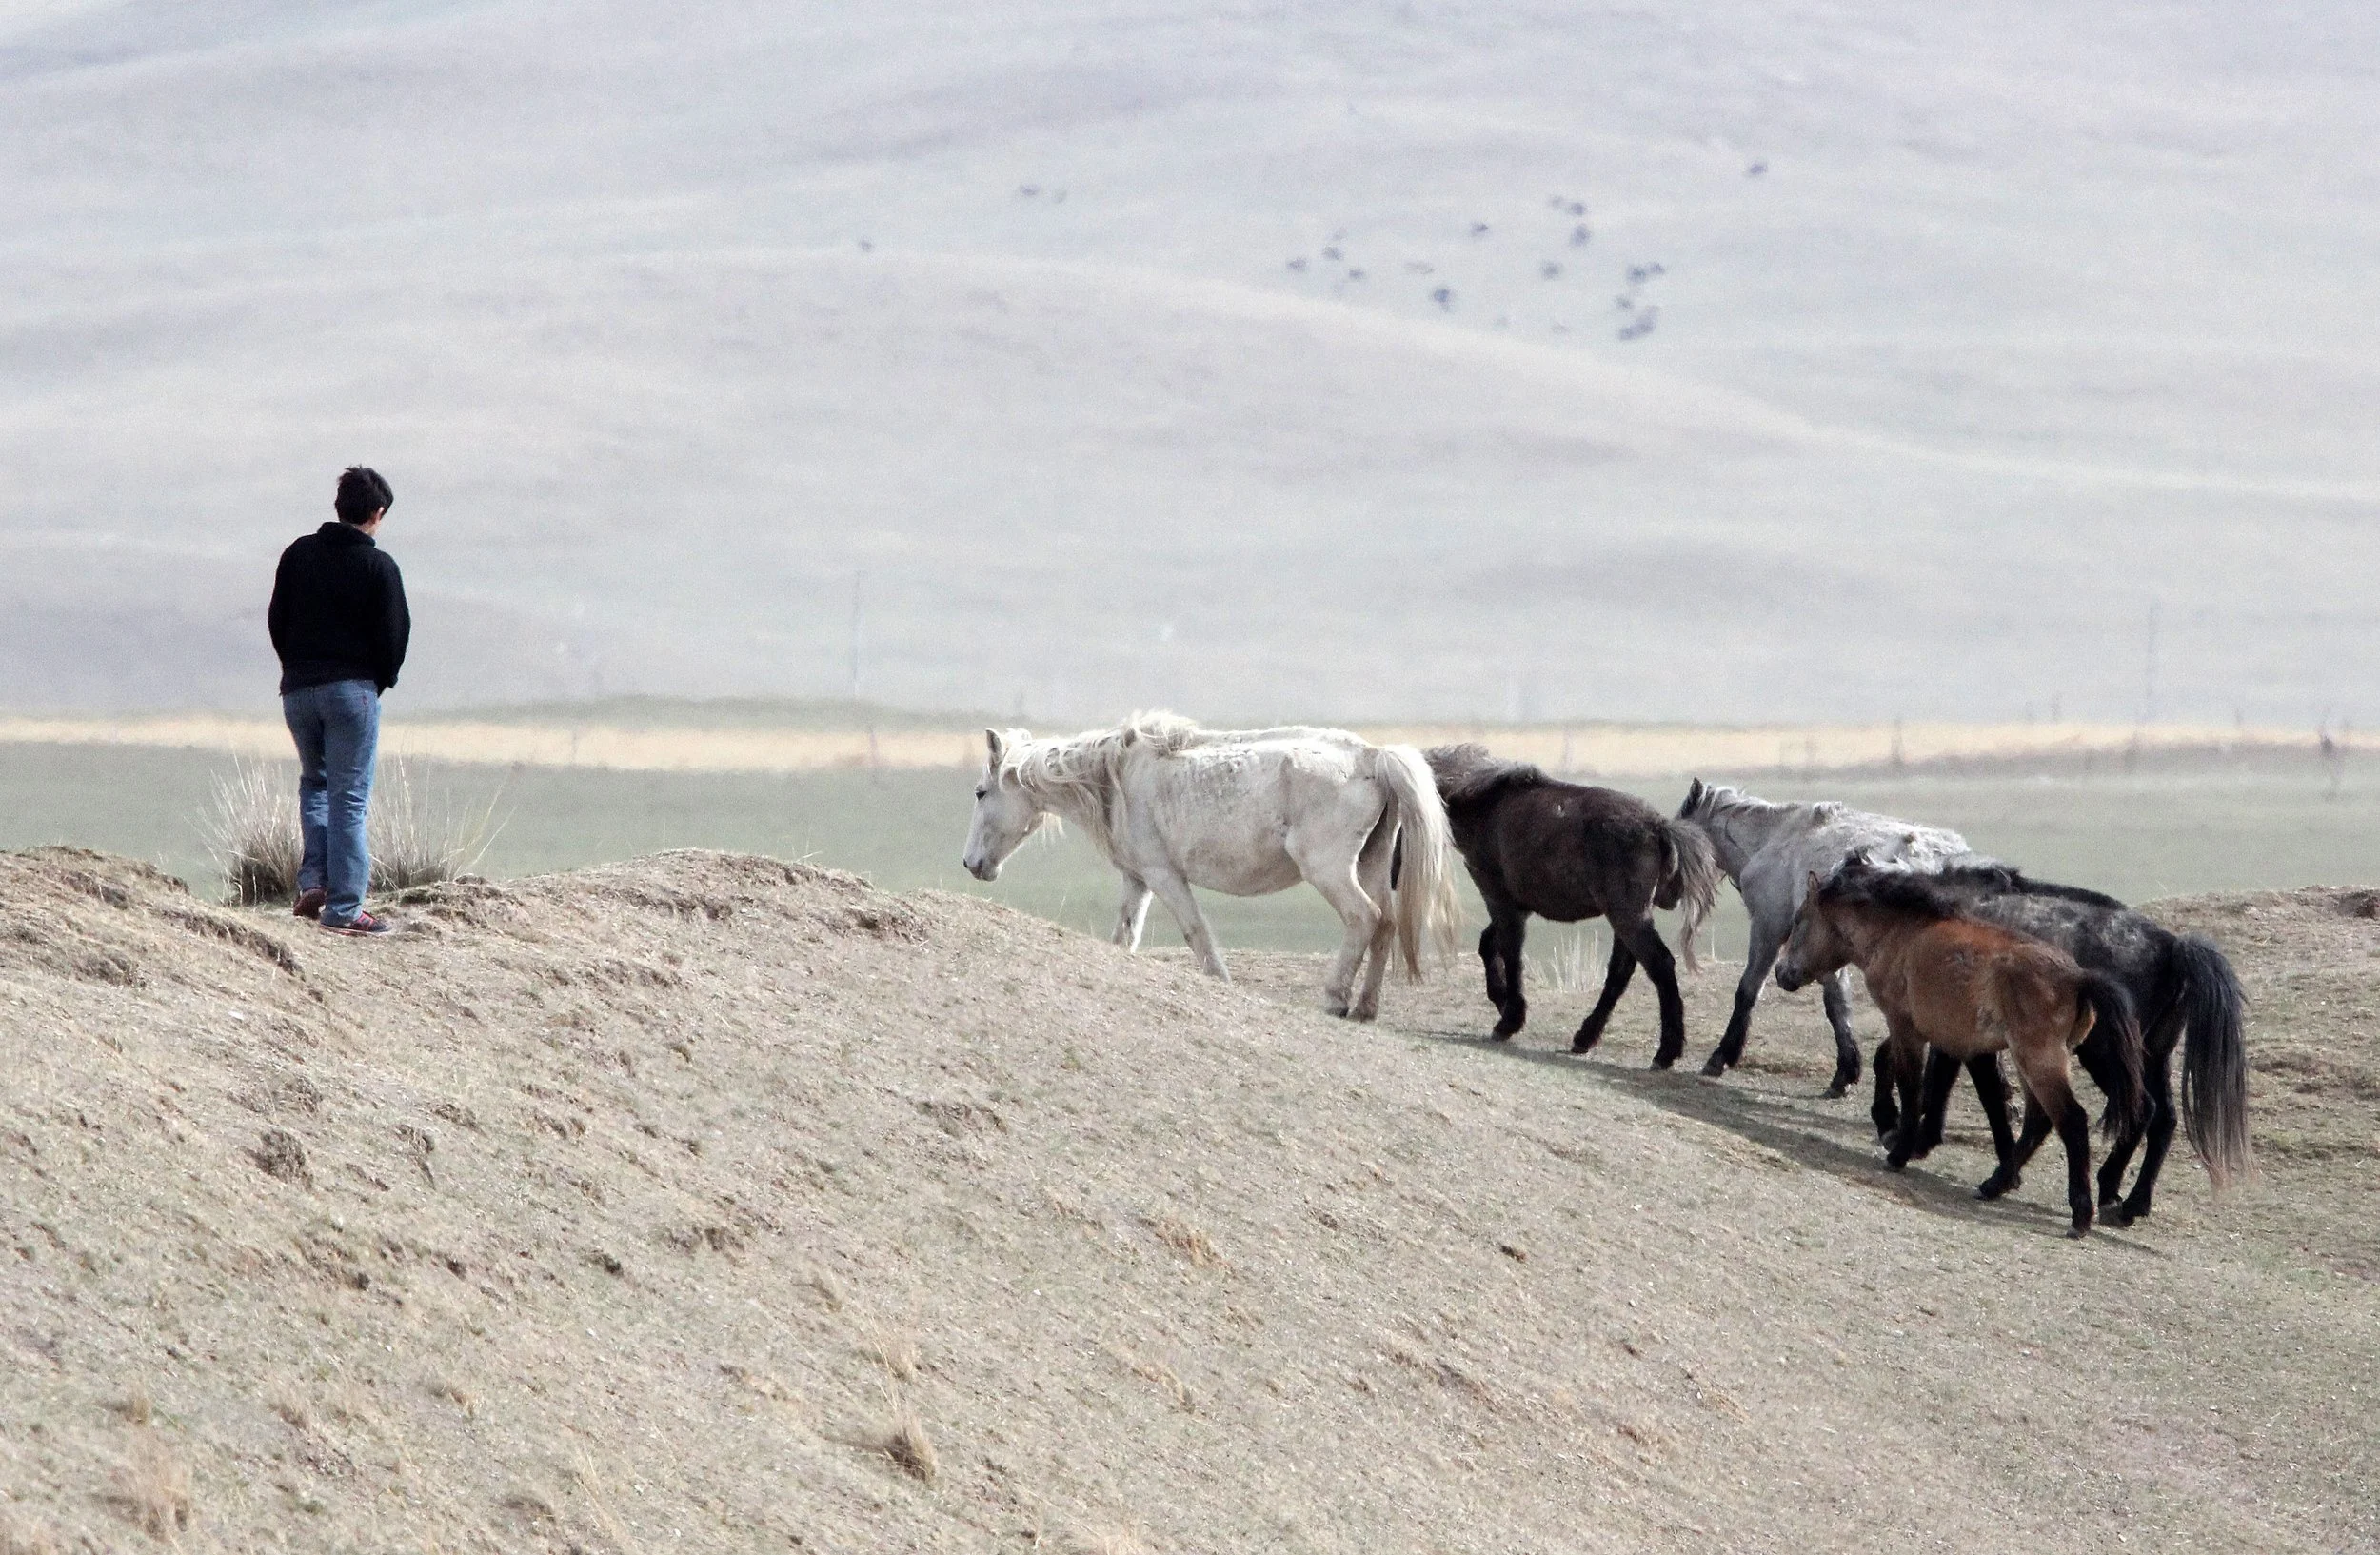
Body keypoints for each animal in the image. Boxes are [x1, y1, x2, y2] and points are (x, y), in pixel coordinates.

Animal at [960, 712, 1462, 1018]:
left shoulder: (1165, 877)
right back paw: (1365, 1008)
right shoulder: (1137, 880)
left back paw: (1335, 1000)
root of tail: (1373, 757)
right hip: (1371, 865)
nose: (970, 863)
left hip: (1330, 872)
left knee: (1365, 917)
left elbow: (1196, 933)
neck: (1116, 778)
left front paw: (1222, 983)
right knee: (1387, 923)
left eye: (981, 792)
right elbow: (1124, 937)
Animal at [1426, 745, 1721, 1066]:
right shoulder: (1517, 906)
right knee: (1621, 972)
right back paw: (1586, 1037)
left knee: (1660, 966)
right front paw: (1503, 1002)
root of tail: (1659, 828)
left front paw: (1509, 1020)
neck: (1488, 805)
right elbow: (1489, 945)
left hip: (1627, 917)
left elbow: (1512, 955)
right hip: (1627, 919)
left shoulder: (1499, 899)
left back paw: (1666, 1051)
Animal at [1675, 779, 1992, 1096]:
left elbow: (1750, 988)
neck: (1774, 837)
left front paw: (1721, 1057)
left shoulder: (1769, 927)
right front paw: (1846, 1072)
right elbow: (1838, 1003)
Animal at [1777, 859, 2148, 1237]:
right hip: (2031, 1062)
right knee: (2038, 1121)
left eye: (1798, 920)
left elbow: (1912, 1088)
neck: (1900, 933)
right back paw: (1996, 1184)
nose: (1781, 973)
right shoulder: (1955, 1042)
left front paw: (1899, 1150)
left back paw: (2080, 1214)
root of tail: (2077, 978)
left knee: (2071, 1121)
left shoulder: (1905, 1027)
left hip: (2039, 1061)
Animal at [1869, 861, 2253, 1224]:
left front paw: (1908, 1136)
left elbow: (1958, 1086)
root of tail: (2172, 948)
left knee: (2142, 1108)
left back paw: (2103, 1190)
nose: (1883, 1120)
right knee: (2165, 1118)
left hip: (2103, 1054)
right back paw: (2130, 1202)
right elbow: (1945, 1079)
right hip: (2153, 1057)